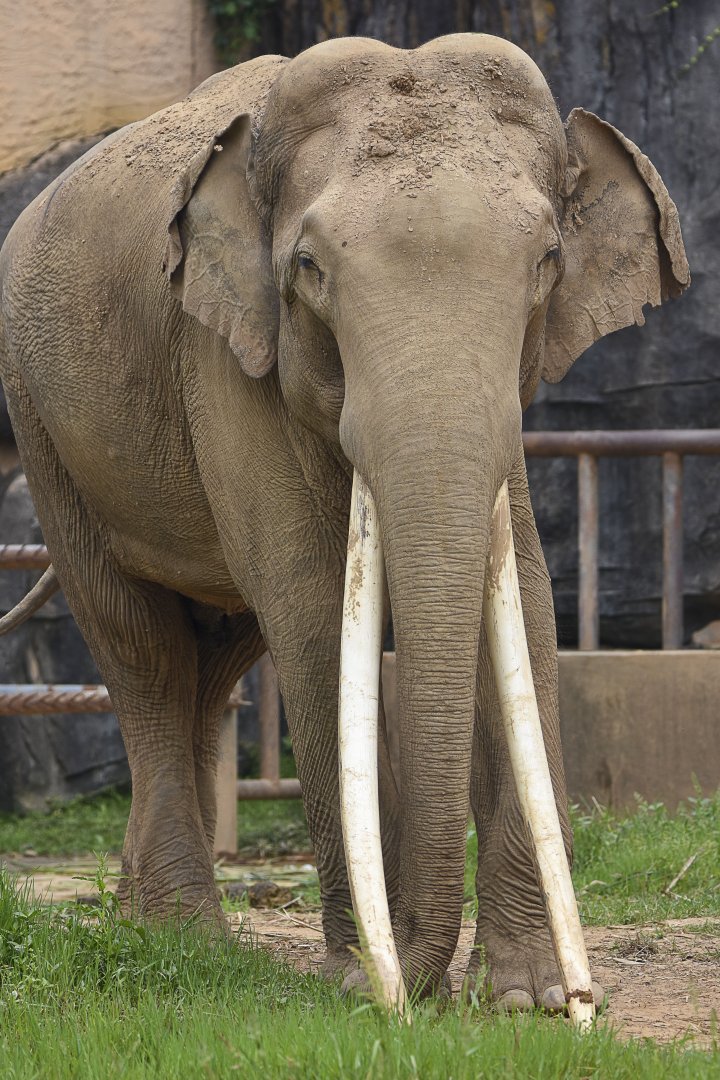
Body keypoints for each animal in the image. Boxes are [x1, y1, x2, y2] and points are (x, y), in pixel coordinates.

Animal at [0, 34, 688, 1009]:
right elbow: (313, 606)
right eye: (310, 271)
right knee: (143, 649)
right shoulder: (225, 357)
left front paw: (529, 998)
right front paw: (367, 979)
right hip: (42, 424)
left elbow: (529, 606)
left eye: (548, 263)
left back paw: (154, 921)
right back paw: (188, 942)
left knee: (213, 661)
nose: (425, 991)